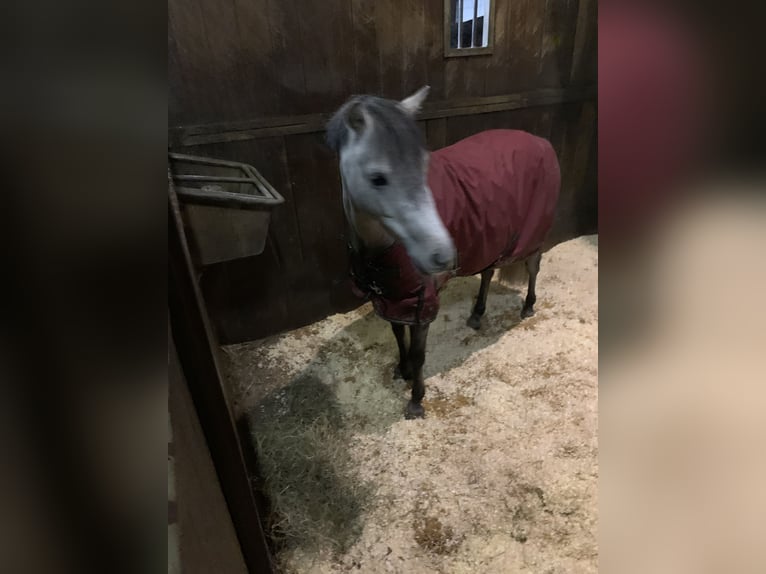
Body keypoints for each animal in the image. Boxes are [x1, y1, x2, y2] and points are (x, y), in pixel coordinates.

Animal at [326, 86, 561, 419]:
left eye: (424, 168)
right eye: (377, 178)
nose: (443, 255)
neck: (380, 250)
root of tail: (541, 141)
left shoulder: (421, 303)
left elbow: (419, 353)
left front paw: (415, 399)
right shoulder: (391, 298)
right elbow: (398, 336)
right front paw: (402, 370)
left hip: (531, 238)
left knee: (532, 268)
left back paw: (528, 307)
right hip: (493, 239)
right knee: (488, 272)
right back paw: (476, 315)